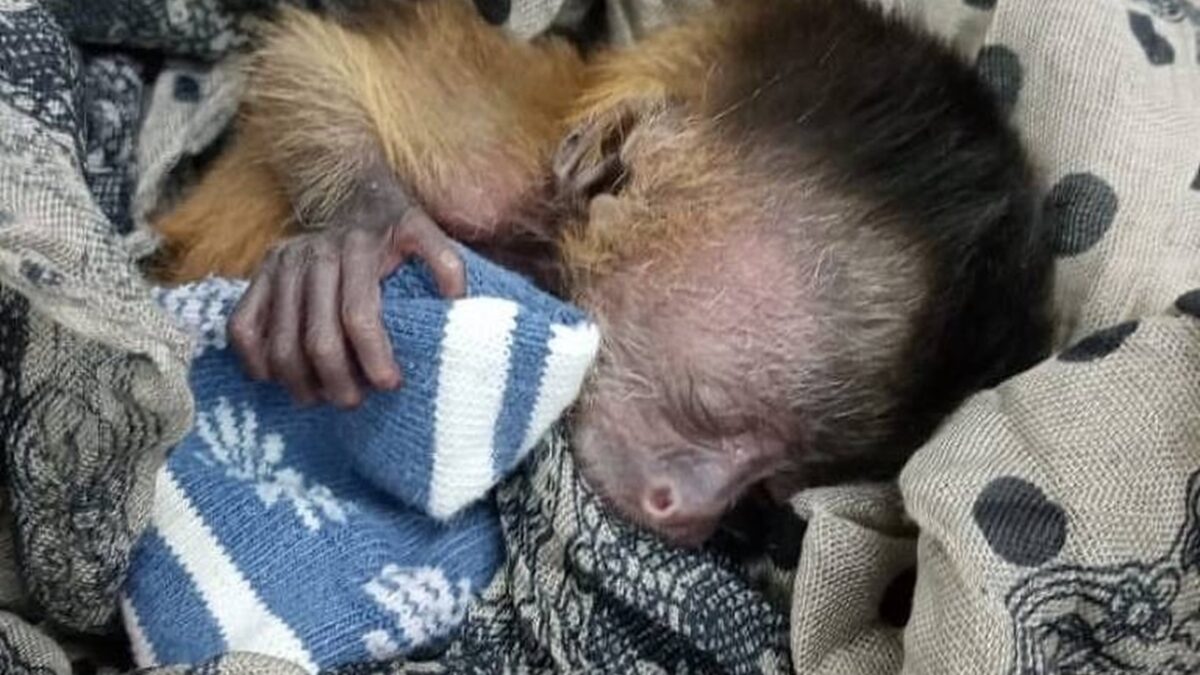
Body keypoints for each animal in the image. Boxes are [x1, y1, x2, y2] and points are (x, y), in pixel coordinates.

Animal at [147, 0, 1054, 547]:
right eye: (708, 410)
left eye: (772, 486)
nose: (692, 512)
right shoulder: (492, 170)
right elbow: (308, 58)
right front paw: (360, 228)